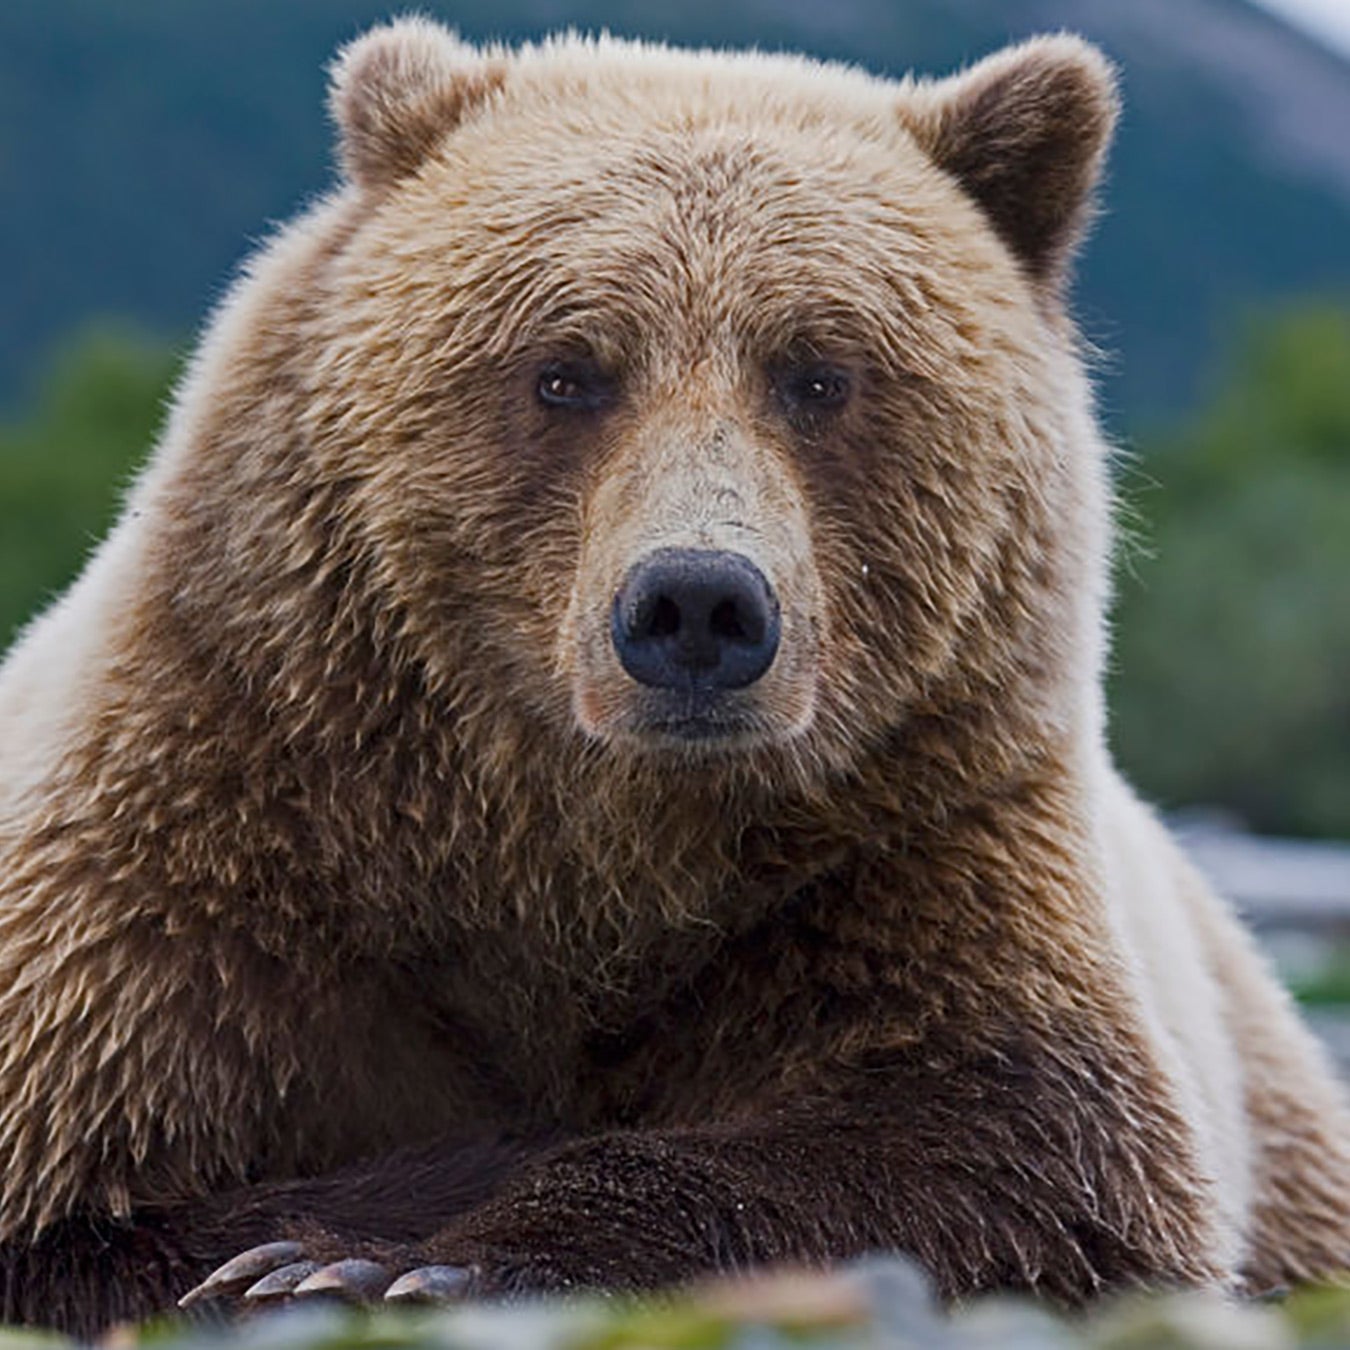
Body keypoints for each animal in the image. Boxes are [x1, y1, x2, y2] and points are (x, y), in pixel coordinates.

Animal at [2, 15, 1350, 1333]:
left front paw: (402, 1258)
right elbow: (79, 1193)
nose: (697, 604)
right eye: (565, 369)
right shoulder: (212, 855)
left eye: (820, 372)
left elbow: (1018, 1158)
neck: (588, 845)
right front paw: (317, 1246)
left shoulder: (911, 853)